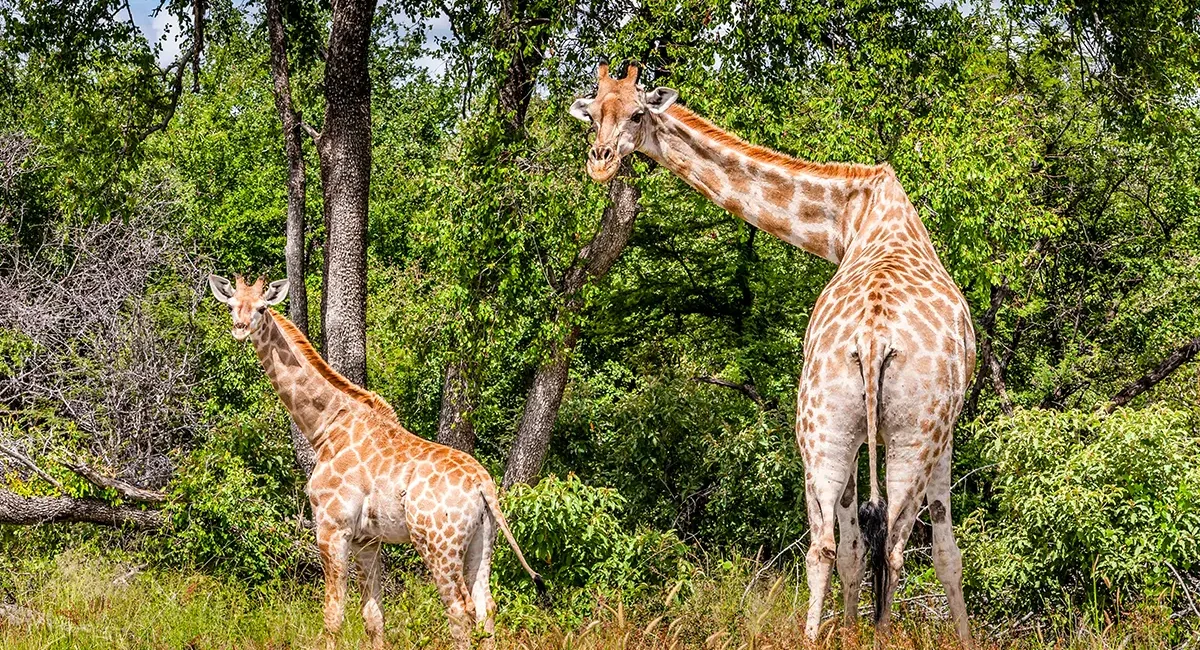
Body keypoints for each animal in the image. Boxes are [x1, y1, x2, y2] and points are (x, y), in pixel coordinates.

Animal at [208, 274, 546, 650]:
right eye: (232, 303)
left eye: (262, 308)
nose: (239, 328)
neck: (325, 428)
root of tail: (483, 484)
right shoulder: (367, 538)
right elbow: (374, 619)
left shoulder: (332, 527)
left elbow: (333, 616)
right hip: (482, 540)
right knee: (486, 606)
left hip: (438, 543)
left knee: (460, 608)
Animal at [570, 62, 975, 645]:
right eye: (594, 113)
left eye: (637, 114)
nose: (599, 163)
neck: (850, 218)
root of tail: (873, 337)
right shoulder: (933, 436)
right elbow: (938, 552)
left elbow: (887, 549)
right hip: (893, 432)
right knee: (884, 547)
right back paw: (866, 634)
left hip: (835, 425)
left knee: (833, 544)